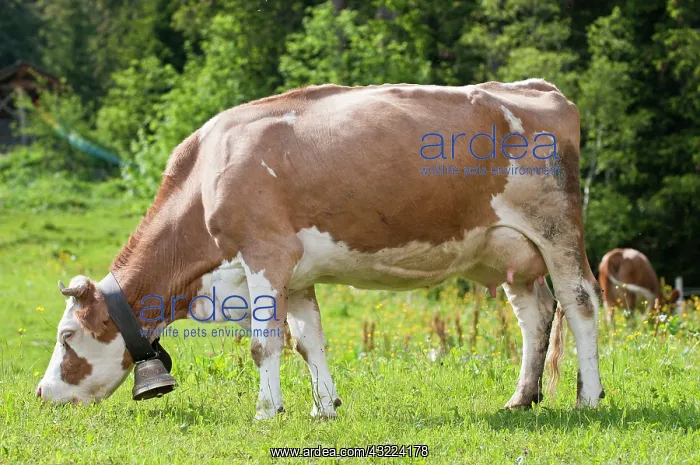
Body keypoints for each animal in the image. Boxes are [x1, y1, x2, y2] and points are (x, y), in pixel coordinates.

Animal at [36, 78, 605, 419]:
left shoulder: (265, 254)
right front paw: (323, 407)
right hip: (511, 253)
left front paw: (266, 412)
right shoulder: (299, 274)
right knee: (536, 315)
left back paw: (589, 398)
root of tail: (536, 86)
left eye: (67, 337)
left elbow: (264, 343)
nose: (41, 393)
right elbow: (309, 342)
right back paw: (520, 399)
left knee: (579, 305)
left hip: (557, 231)